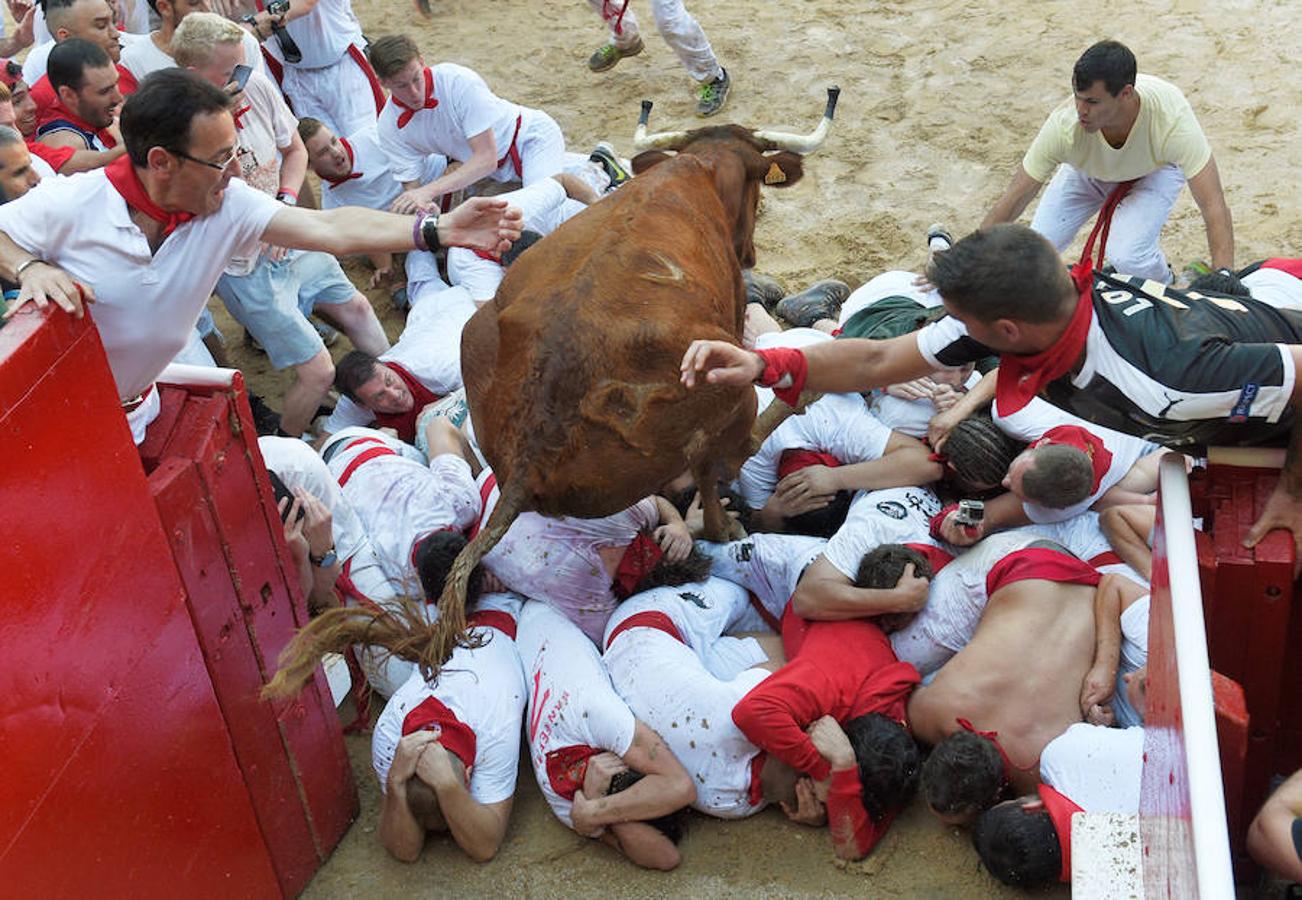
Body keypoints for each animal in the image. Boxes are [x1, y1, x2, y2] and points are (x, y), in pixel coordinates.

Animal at [421, 91, 838, 666]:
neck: (699, 168)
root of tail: (533, 441)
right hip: (727, 390)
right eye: (757, 187)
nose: (751, 251)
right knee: (723, 462)